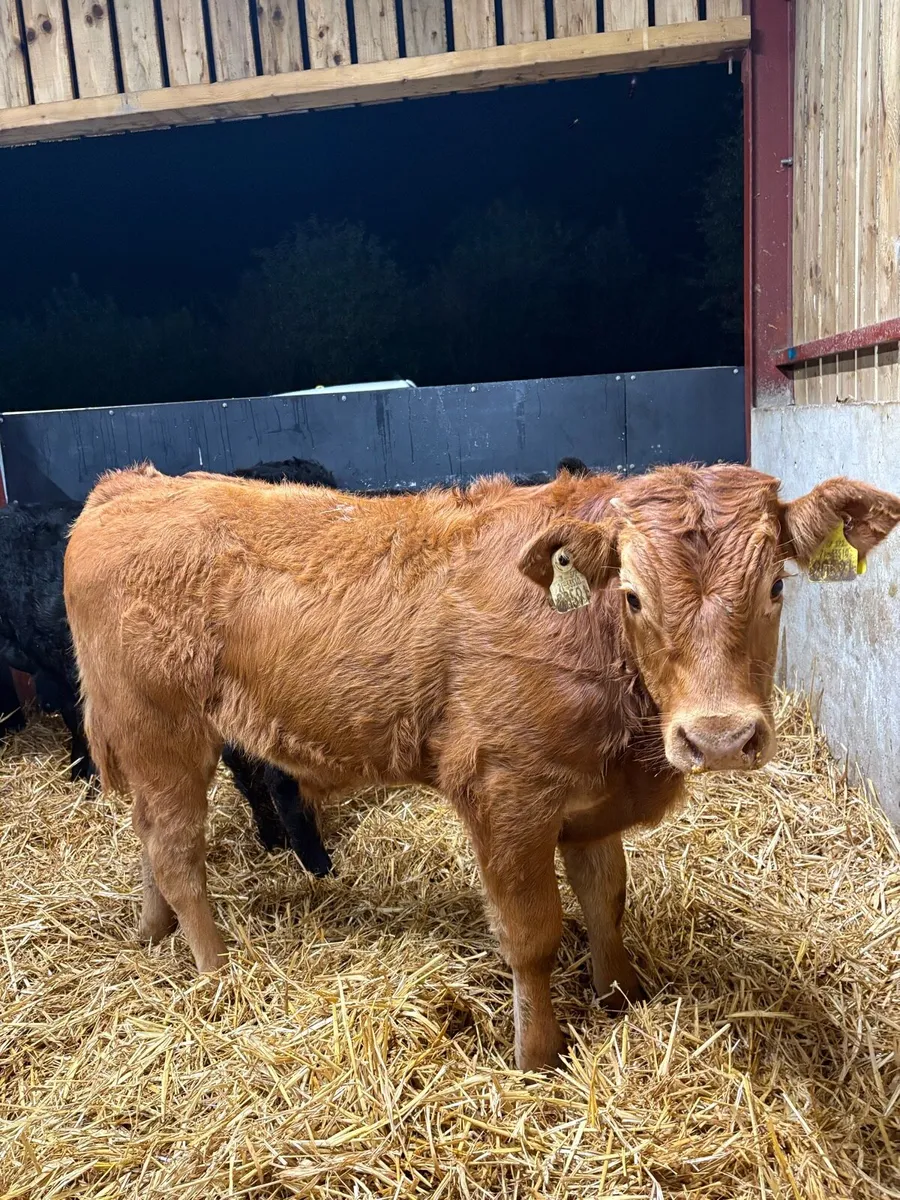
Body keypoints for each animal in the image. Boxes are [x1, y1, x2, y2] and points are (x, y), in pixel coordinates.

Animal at [63, 461, 900, 1071]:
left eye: (776, 585)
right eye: (633, 596)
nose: (720, 736)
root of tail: (133, 484)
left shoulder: (591, 802)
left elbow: (606, 900)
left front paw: (621, 995)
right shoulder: (506, 795)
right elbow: (533, 934)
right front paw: (538, 1054)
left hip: (145, 741)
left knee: (148, 835)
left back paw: (152, 933)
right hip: (162, 729)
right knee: (177, 850)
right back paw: (215, 970)